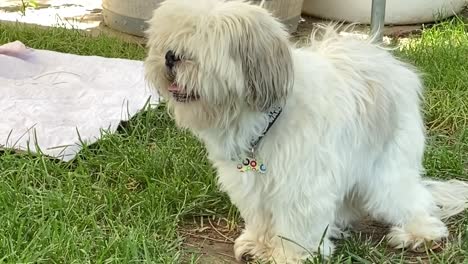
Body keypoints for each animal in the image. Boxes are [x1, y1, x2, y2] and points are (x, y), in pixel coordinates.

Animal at [144, 1, 468, 262]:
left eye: (201, 43)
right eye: (165, 40)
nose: (170, 56)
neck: (263, 116)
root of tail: (386, 57)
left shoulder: (301, 183)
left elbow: (296, 224)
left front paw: (290, 255)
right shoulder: (251, 184)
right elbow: (260, 216)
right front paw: (259, 244)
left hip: (386, 168)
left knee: (411, 199)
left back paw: (418, 233)